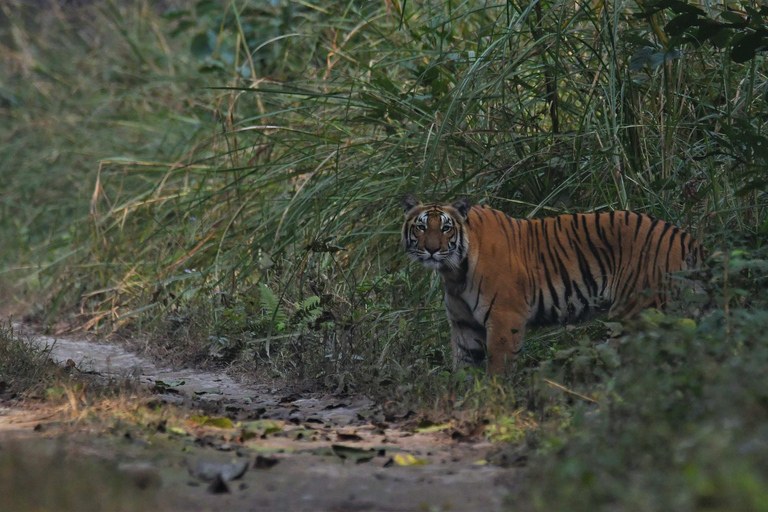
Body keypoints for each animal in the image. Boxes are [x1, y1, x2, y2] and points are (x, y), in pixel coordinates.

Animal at [402, 194, 708, 374]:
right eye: (421, 227)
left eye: (446, 228)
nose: (431, 249)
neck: (454, 271)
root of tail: (684, 236)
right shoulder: (464, 324)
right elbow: (464, 367)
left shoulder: (504, 317)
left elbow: (498, 366)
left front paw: (493, 400)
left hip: (638, 312)